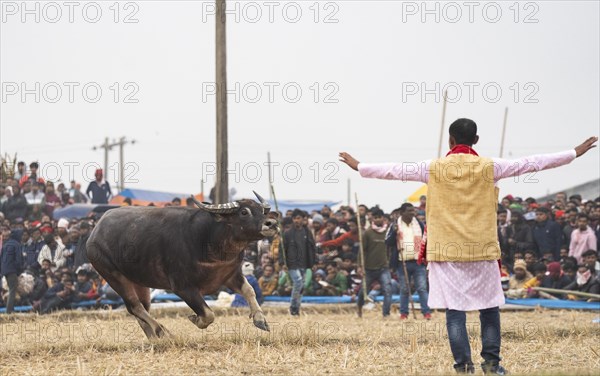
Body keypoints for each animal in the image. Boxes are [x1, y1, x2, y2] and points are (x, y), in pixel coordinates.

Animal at [86, 192, 276, 340]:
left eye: (261, 210)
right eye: (244, 212)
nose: (271, 223)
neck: (209, 239)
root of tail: (95, 232)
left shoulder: (230, 275)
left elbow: (249, 290)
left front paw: (261, 320)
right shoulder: (182, 288)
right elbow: (208, 314)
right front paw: (194, 319)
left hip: (139, 282)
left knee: (140, 309)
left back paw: (154, 338)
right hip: (113, 275)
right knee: (135, 306)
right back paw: (163, 332)